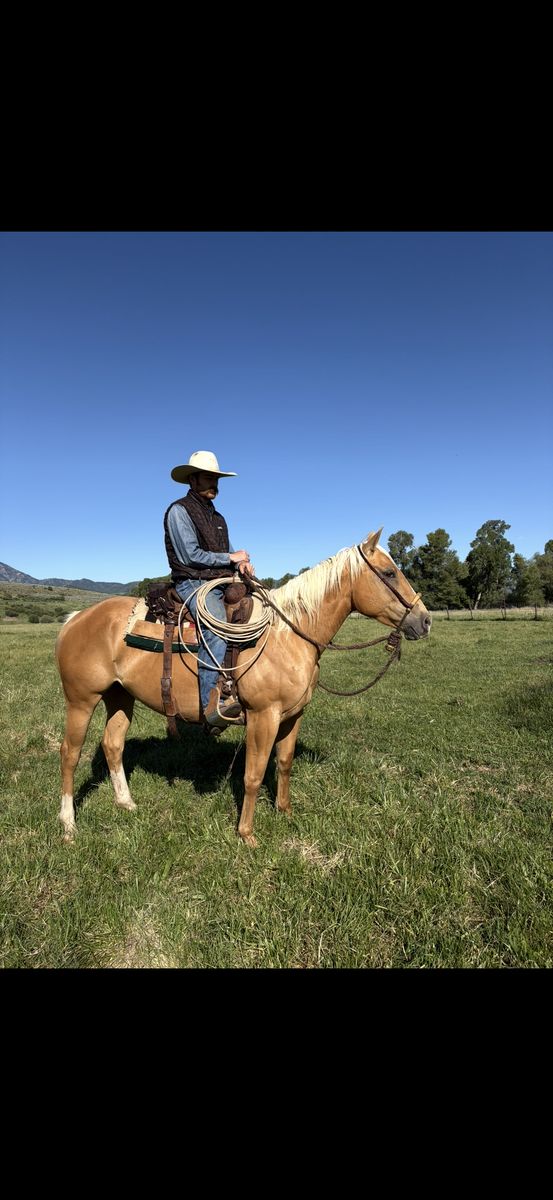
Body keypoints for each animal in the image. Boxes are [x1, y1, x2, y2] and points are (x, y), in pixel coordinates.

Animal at [55, 529, 431, 847]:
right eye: (389, 573)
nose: (424, 620)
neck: (286, 635)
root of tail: (75, 619)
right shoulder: (263, 716)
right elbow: (253, 774)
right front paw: (247, 834)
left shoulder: (293, 716)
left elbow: (284, 764)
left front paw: (285, 811)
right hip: (81, 700)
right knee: (70, 754)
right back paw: (69, 825)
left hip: (120, 697)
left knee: (112, 745)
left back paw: (126, 803)